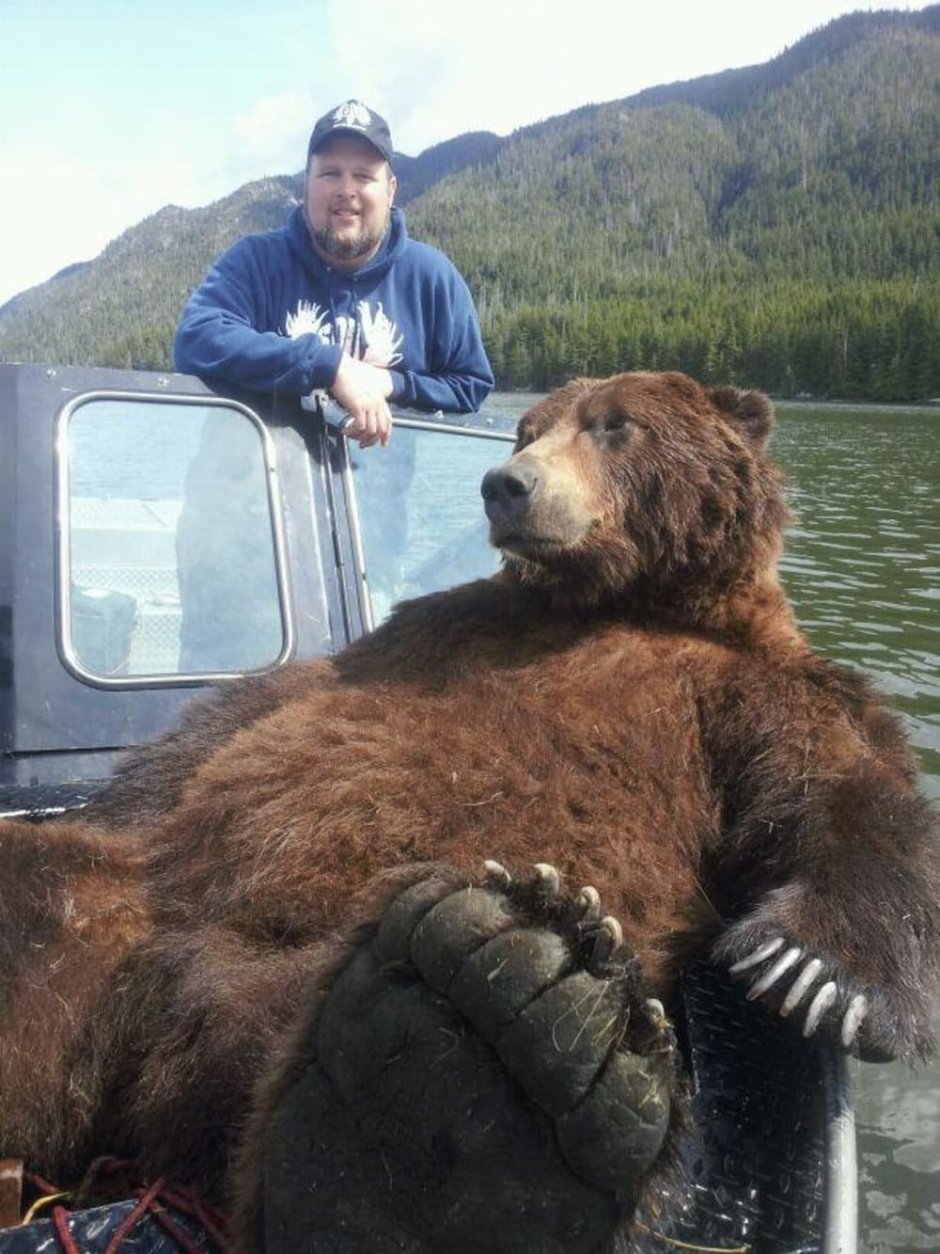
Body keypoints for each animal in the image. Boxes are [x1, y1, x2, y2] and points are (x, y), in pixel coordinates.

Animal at [0, 370, 937, 1253]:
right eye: (529, 429)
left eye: (616, 424)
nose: (506, 484)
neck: (618, 601)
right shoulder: (429, 634)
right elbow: (239, 723)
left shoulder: (747, 689)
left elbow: (843, 785)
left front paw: (820, 972)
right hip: (118, 903)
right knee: (51, 903)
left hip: (267, 982)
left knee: (250, 1054)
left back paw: (480, 1079)